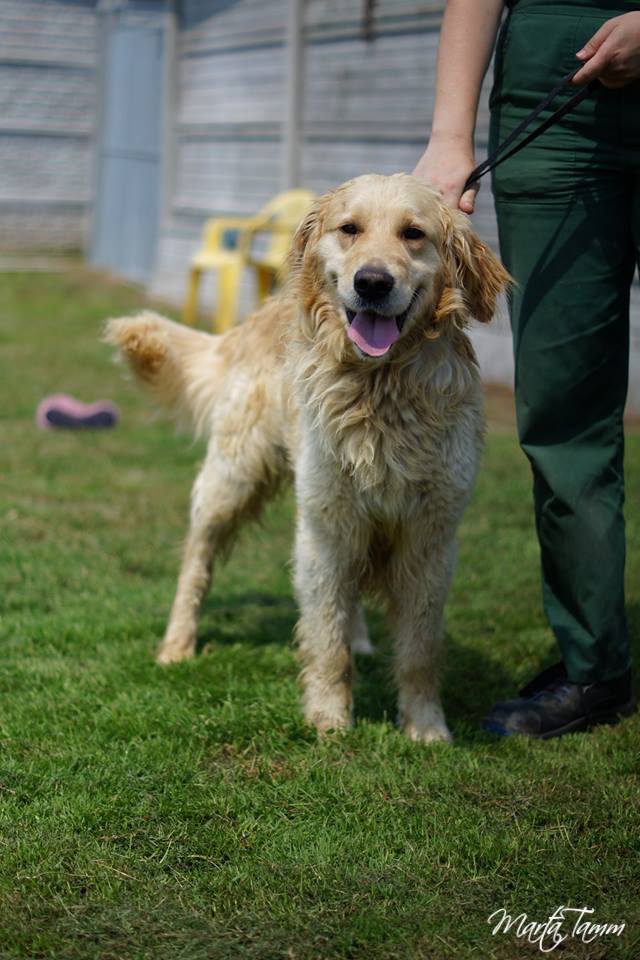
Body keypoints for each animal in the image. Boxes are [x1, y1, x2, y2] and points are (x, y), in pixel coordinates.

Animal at [106, 173, 510, 743]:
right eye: (350, 229)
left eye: (413, 234)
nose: (372, 282)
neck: (378, 388)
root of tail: (255, 316)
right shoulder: (325, 523)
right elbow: (325, 639)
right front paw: (329, 718)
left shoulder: (430, 535)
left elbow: (419, 650)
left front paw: (426, 726)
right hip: (231, 481)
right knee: (196, 562)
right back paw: (177, 645)